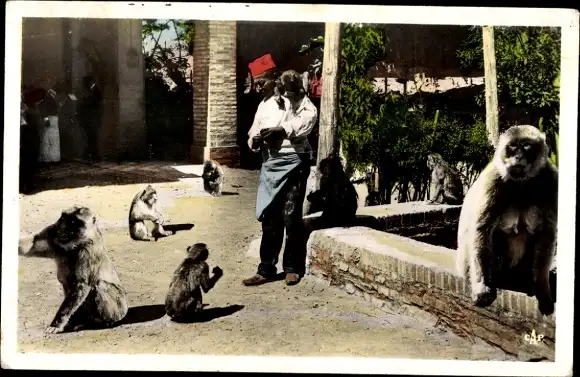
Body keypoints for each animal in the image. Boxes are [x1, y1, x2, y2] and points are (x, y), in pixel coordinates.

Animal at [458, 125, 556, 316]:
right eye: (512, 147)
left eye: (526, 146)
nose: (517, 156)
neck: (522, 184)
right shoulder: (494, 178)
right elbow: (482, 228)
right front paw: (481, 286)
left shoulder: (550, 180)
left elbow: (546, 233)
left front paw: (542, 289)